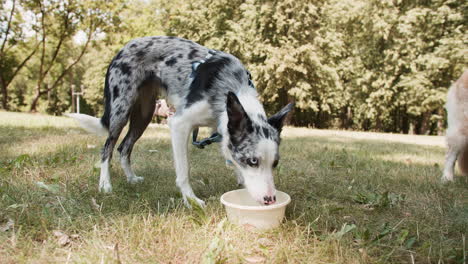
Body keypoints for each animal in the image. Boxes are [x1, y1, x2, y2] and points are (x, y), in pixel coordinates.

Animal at [66, 36, 292, 206]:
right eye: (253, 161)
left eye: (275, 163)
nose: (270, 199)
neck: (233, 87)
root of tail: (123, 48)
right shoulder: (179, 124)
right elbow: (184, 170)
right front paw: (191, 200)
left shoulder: (221, 126)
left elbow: (229, 154)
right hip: (120, 110)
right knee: (107, 148)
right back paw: (105, 184)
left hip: (144, 114)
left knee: (124, 147)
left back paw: (131, 178)